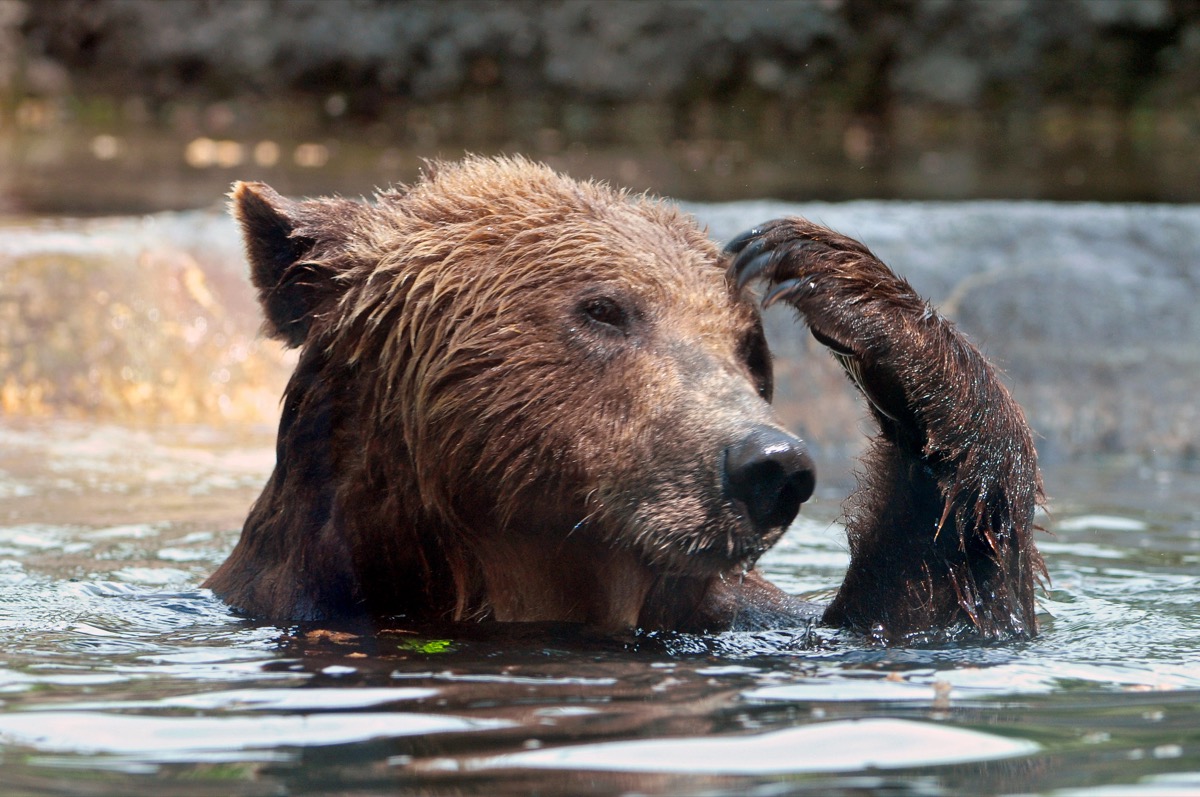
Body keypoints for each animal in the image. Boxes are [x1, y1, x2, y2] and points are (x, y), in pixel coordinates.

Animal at [204, 153, 1041, 643]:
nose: (770, 462)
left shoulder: (749, 622)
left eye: (747, 347)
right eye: (604, 309)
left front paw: (823, 266)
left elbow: (925, 611)